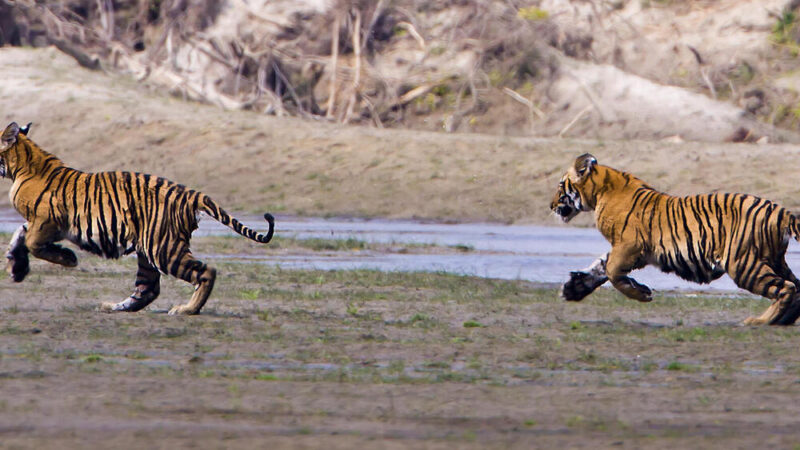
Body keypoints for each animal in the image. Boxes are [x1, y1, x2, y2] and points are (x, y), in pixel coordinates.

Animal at [0, 121, 276, 314]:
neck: (23, 165)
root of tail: (190, 193)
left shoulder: (47, 220)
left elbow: (32, 243)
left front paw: (67, 259)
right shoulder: (39, 222)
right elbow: (19, 235)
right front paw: (16, 267)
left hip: (162, 248)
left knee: (206, 271)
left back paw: (187, 310)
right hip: (149, 249)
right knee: (148, 289)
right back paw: (113, 307)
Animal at [552, 153, 800, 326]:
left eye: (560, 186)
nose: (551, 205)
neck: (600, 192)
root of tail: (780, 211)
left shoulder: (629, 246)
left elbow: (612, 272)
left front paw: (641, 294)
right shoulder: (626, 249)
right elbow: (601, 266)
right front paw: (573, 288)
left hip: (742, 264)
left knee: (785, 288)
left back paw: (761, 321)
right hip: (773, 260)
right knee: (796, 287)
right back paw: (784, 320)